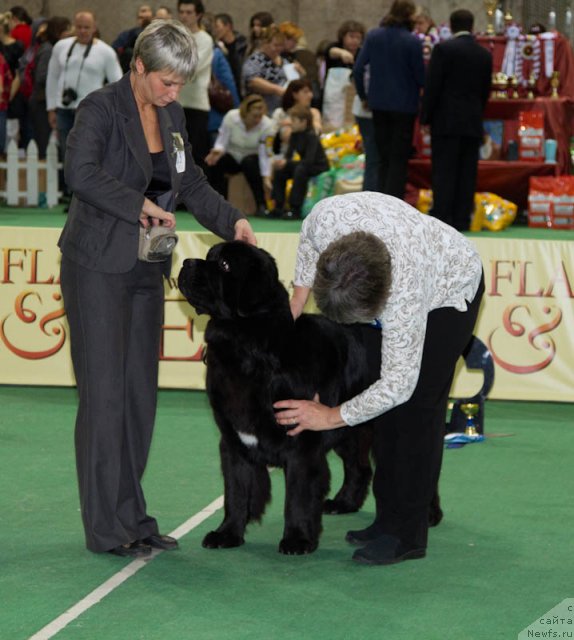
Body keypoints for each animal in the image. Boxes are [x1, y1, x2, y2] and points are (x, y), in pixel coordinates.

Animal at [178, 241, 380, 556]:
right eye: (209, 256)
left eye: (224, 265)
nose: (186, 262)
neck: (248, 348)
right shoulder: (233, 441)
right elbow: (236, 492)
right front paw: (227, 534)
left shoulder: (301, 442)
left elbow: (297, 496)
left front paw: (297, 540)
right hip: (346, 428)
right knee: (358, 466)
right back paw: (343, 503)